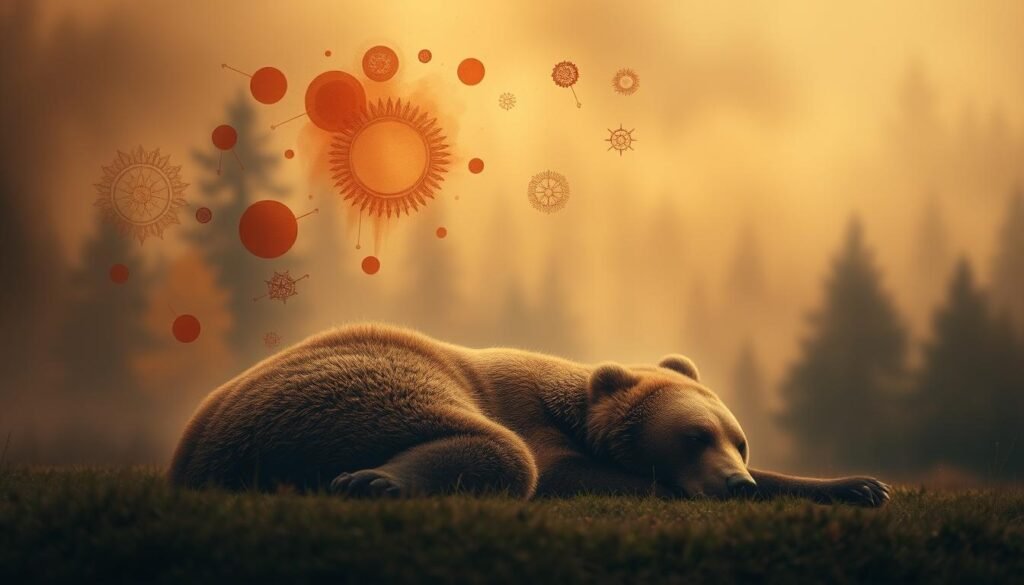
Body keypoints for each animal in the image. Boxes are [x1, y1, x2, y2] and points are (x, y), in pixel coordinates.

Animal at [169, 324, 890, 506]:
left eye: (739, 440)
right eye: (693, 436)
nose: (734, 479)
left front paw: (861, 485)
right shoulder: (534, 420)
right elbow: (560, 469)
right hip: (365, 384)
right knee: (497, 452)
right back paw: (373, 479)